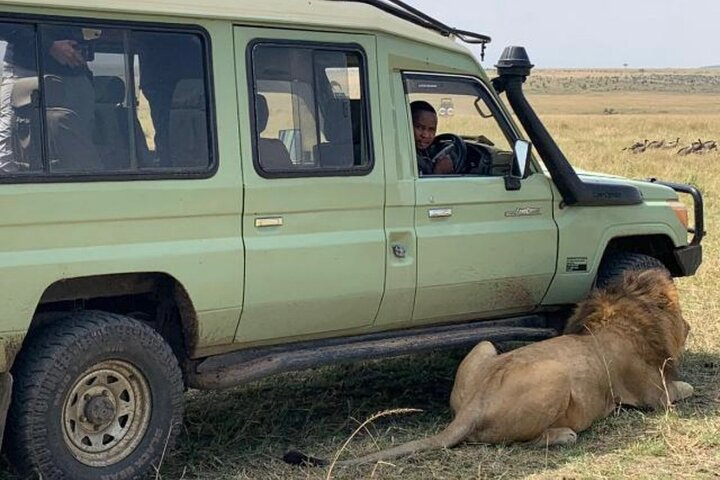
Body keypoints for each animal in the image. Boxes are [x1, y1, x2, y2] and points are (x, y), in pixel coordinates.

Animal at [286, 266, 692, 464]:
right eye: (680, 312)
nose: (688, 327)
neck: (622, 314)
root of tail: (475, 405)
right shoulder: (655, 396)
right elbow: (684, 389)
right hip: (556, 374)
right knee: (521, 440)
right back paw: (563, 435)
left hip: (484, 347)